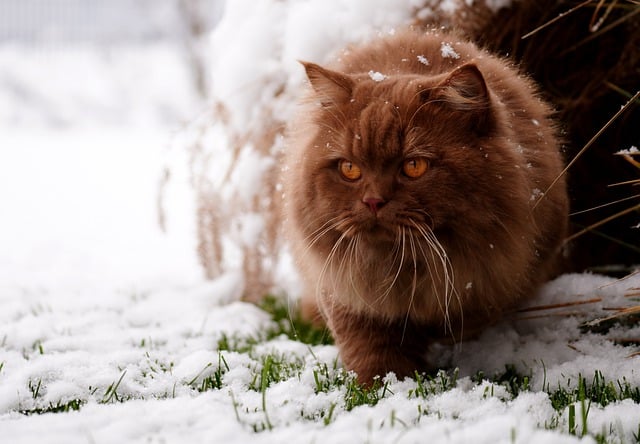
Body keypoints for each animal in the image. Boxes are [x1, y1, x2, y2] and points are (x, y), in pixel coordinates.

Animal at [282, 27, 568, 384]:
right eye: (349, 169)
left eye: (414, 166)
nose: (373, 200)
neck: (408, 266)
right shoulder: (347, 290)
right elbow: (368, 347)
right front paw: (380, 384)